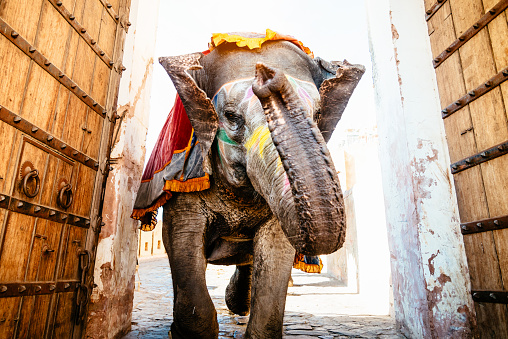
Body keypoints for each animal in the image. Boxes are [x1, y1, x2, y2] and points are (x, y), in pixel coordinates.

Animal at [157, 34, 364, 339]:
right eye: (231, 116)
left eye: (317, 114)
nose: (267, 74)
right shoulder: (186, 178)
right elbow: (181, 239)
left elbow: (275, 247)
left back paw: (238, 304)